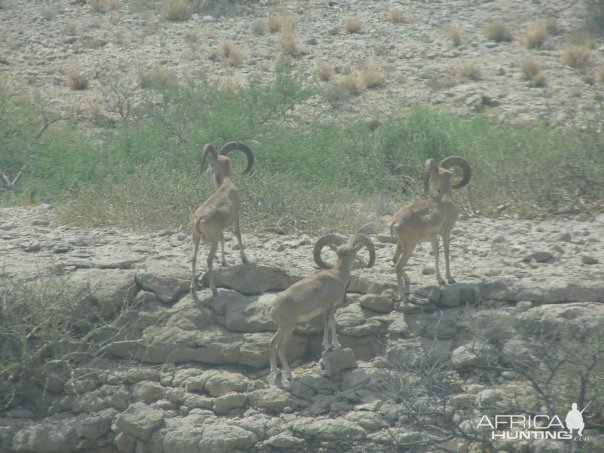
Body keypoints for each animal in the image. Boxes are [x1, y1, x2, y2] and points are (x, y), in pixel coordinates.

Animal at [191, 141, 252, 300]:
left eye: (211, 164)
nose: (206, 173)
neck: (226, 184)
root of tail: (198, 219)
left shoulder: (221, 230)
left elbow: (224, 238)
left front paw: (225, 262)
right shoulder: (236, 216)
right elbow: (238, 234)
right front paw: (245, 259)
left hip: (196, 237)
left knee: (193, 258)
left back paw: (193, 289)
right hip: (212, 240)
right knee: (208, 259)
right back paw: (214, 290)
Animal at [268, 235, 372, 380]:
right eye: (354, 251)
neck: (338, 275)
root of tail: (272, 309)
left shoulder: (333, 307)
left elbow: (332, 323)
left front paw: (337, 345)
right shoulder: (327, 306)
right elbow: (327, 324)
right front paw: (327, 346)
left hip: (282, 328)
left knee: (272, 342)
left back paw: (276, 371)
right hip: (289, 328)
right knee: (280, 347)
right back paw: (289, 374)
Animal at [390, 154, 470, 296]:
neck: (445, 198)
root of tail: (394, 223)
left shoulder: (433, 237)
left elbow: (436, 254)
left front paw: (440, 280)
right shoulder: (446, 231)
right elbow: (446, 252)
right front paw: (450, 279)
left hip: (400, 244)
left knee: (394, 260)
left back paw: (408, 281)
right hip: (410, 246)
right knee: (399, 265)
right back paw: (403, 296)